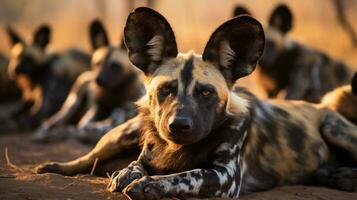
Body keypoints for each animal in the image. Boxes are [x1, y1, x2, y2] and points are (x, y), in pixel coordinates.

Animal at [36, 6, 356, 200]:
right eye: (165, 89)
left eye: (205, 93)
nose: (179, 126)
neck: (178, 149)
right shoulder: (146, 154)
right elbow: (135, 166)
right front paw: (128, 174)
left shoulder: (225, 176)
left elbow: (185, 176)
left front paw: (151, 184)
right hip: (121, 135)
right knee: (87, 158)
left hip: (334, 128)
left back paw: (339, 176)